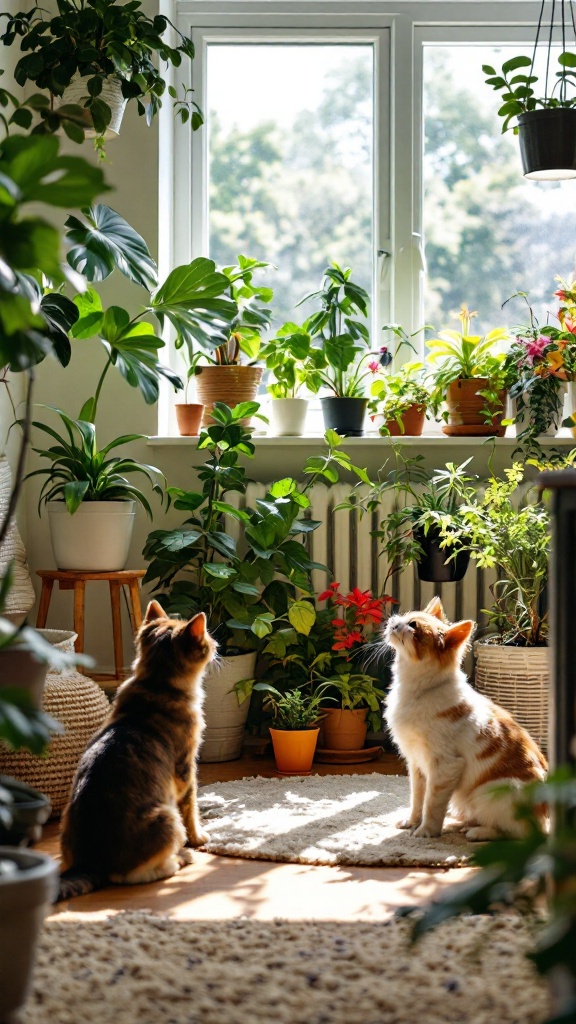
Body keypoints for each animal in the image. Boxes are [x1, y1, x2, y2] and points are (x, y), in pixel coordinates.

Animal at [57, 602, 215, 901]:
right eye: (209, 638)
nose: (216, 644)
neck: (157, 683)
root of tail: (90, 862)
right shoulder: (186, 769)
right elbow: (192, 808)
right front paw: (199, 838)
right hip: (167, 818)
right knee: (137, 875)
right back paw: (181, 857)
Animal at [383, 598, 545, 839]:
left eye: (412, 625)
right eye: (406, 616)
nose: (394, 620)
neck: (417, 691)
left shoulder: (445, 765)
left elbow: (432, 803)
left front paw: (426, 832)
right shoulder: (416, 764)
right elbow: (417, 799)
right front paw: (412, 823)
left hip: (493, 791)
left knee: (516, 833)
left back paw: (476, 832)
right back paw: (459, 824)